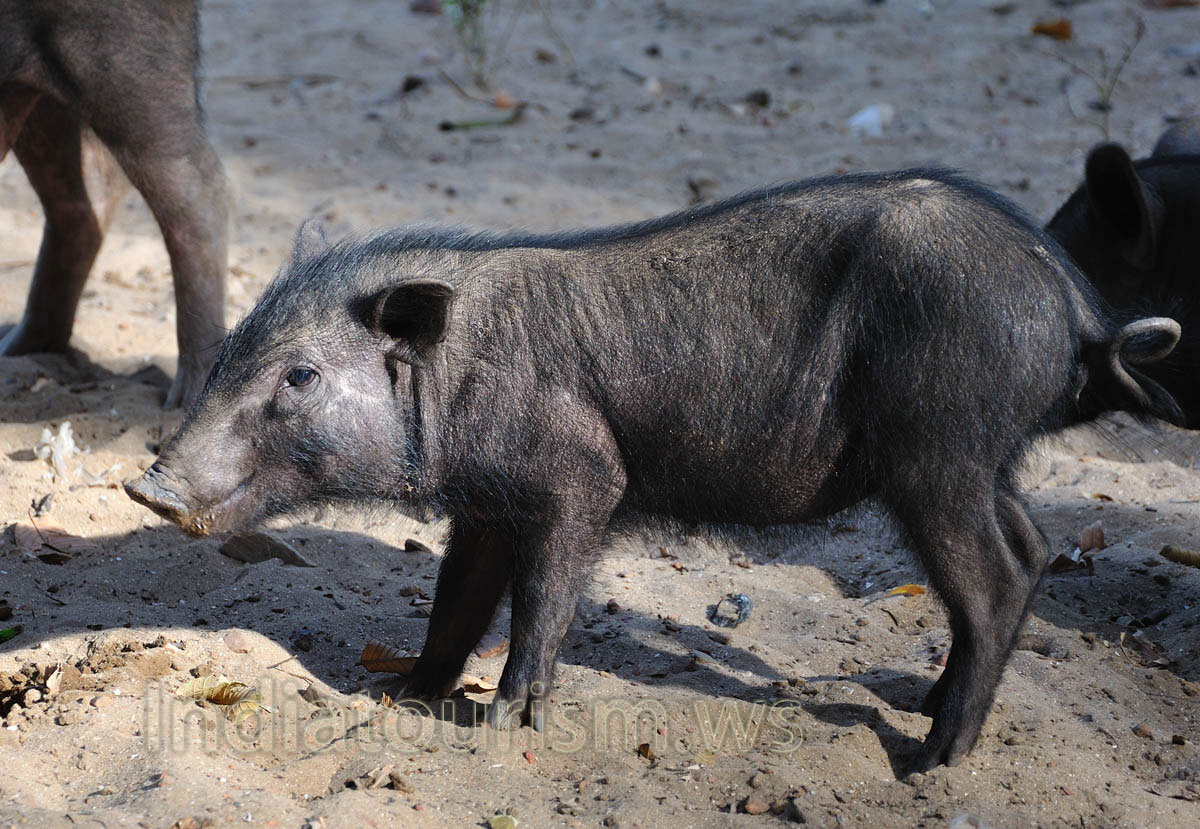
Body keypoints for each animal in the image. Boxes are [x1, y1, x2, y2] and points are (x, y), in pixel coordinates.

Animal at [0, 0, 228, 407]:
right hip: (35, 84)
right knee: (88, 196)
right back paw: (17, 350)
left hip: (123, 62)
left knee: (200, 190)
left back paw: (185, 398)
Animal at [125, 170, 1181, 772]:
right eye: (231, 350)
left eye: (300, 374)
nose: (146, 484)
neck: (456, 372)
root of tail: (1077, 310)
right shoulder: (488, 504)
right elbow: (456, 598)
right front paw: (406, 695)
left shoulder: (579, 476)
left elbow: (544, 596)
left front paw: (505, 726)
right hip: (983, 458)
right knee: (1035, 547)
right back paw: (924, 709)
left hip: (939, 450)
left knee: (997, 575)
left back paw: (930, 763)